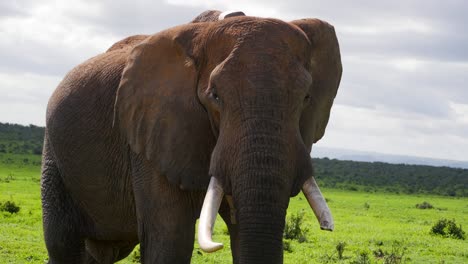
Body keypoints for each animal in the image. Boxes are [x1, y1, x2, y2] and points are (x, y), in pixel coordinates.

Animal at [41, 8, 340, 264]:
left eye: (306, 98)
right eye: (215, 96)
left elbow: (241, 233)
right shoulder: (152, 133)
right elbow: (170, 240)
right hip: (54, 156)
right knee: (63, 244)